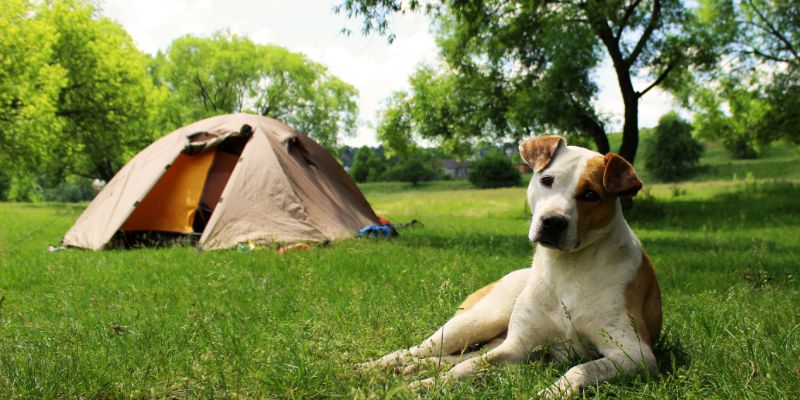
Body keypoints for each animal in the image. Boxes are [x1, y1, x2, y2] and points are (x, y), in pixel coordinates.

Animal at [358, 136, 664, 398]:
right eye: (547, 180)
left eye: (591, 194)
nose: (552, 222)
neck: (566, 267)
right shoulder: (518, 346)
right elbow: (468, 367)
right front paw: (421, 387)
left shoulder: (634, 353)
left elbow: (580, 370)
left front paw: (551, 392)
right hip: (479, 321)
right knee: (418, 350)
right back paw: (373, 367)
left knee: (451, 357)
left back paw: (410, 369)